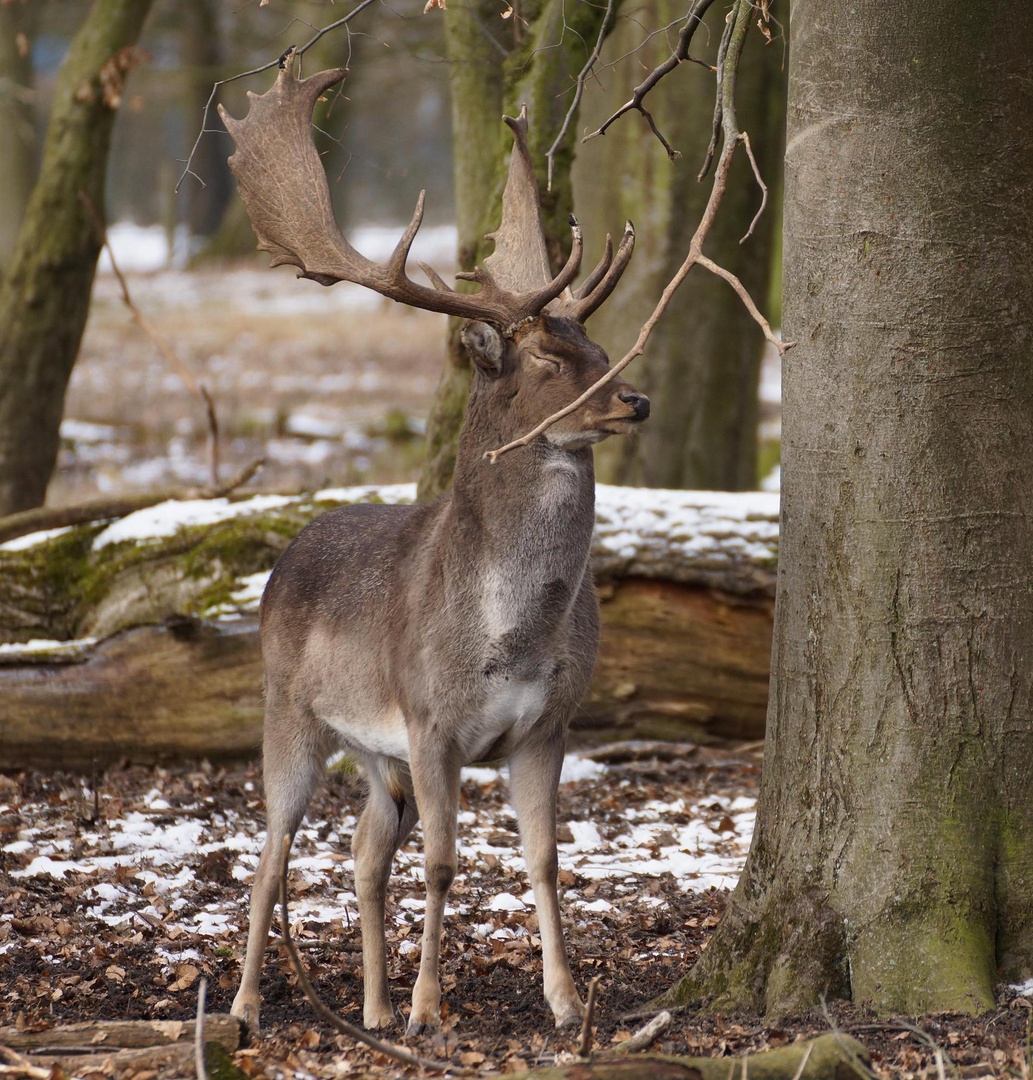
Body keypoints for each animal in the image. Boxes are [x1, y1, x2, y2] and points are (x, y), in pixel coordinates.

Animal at [221, 52, 648, 1036]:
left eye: (596, 341)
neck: (508, 635)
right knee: (270, 853)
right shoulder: (428, 720)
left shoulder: (547, 725)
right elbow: (447, 865)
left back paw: (370, 1011)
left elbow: (543, 860)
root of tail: (282, 557)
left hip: (375, 755)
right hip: (288, 711)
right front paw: (428, 1009)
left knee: (361, 852)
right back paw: (248, 1006)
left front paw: (564, 1002)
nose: (634, 399)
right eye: (545, 360)